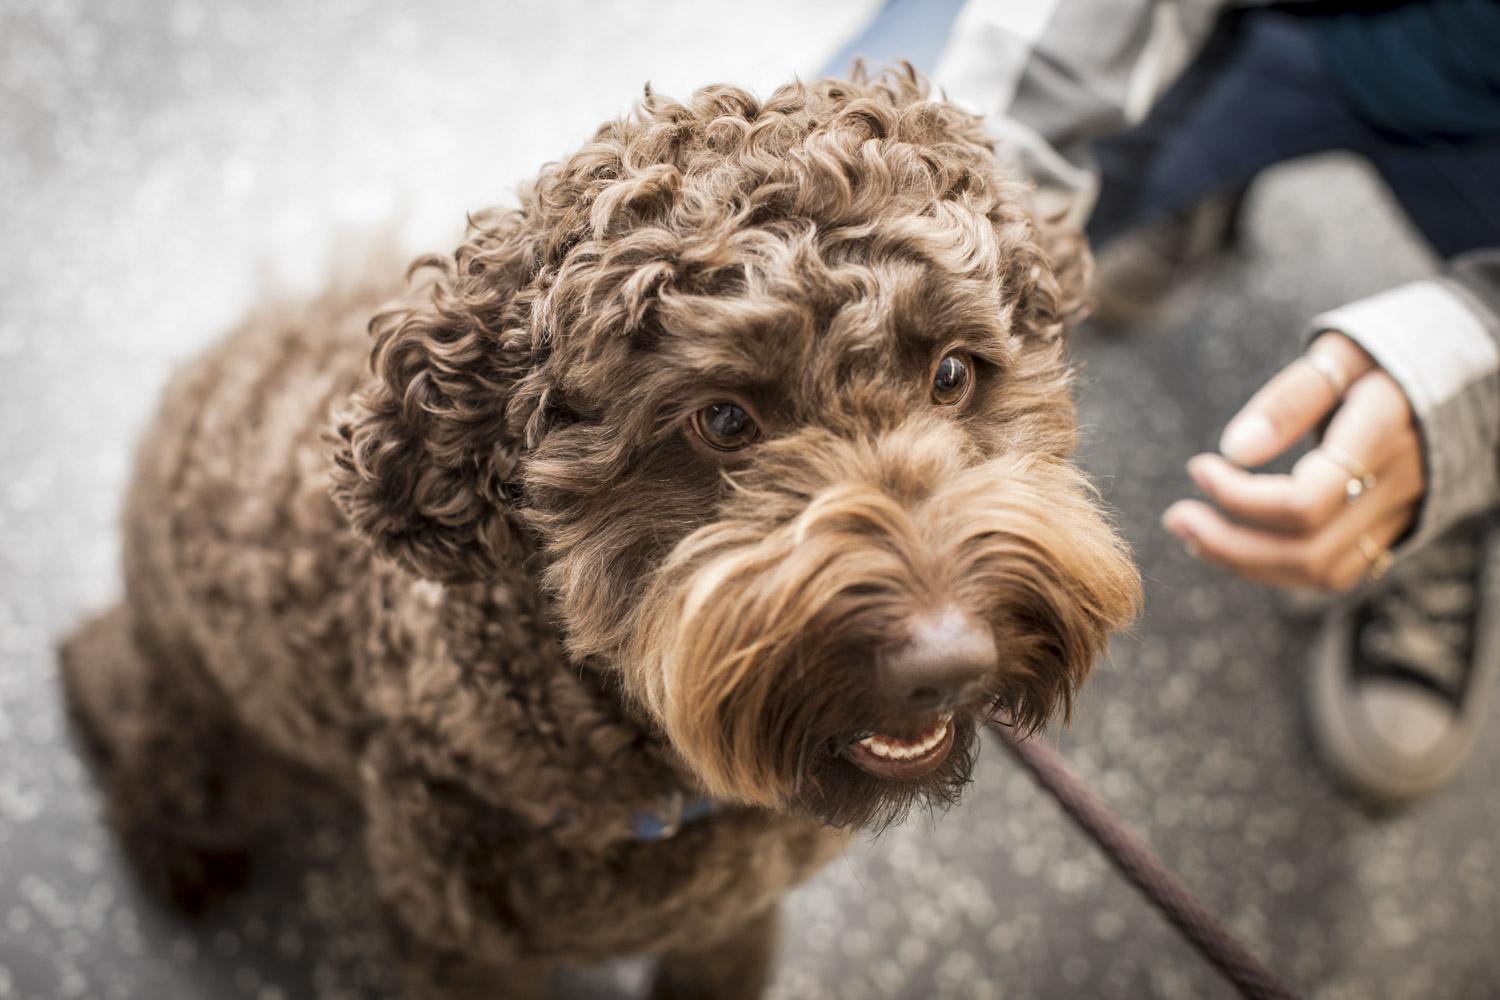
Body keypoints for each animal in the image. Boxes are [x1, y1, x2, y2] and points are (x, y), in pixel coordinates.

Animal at [58, 70, 1134, 1000]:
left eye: (953, 373)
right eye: (723, 420)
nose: (948, 663)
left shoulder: (730, 921)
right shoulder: (463, 949)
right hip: (215, 739)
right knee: (109, 681)